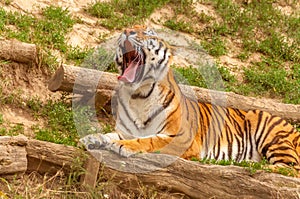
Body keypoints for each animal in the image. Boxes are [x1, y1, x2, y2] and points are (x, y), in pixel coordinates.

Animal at [79, 24, 300, 174]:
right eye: (130, 28)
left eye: (148, 33)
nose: (126, 31)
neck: (138, 95)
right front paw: (92, 138)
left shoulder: (181, 138)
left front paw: (124, 146)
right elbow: (110, 134)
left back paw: (255, 165)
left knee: (290, 168)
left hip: (270, 132)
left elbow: (149, 140)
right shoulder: (127, 130)